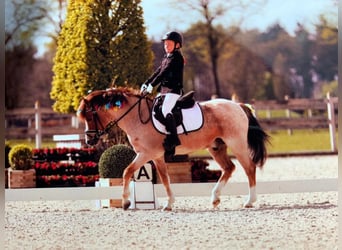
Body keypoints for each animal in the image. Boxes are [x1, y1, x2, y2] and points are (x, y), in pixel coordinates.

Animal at [77, 87, 270, 210]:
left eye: (90, 116)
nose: (89, 140)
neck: (137, 117)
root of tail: (238, 105)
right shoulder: (155, 156)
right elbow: (164, 178)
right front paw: (169, 204)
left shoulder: (146, 153)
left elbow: (127, 171)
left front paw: (125, 202)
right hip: (216, 147)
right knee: (229, 168)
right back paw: (215, 199)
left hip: (237, 144)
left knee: (249, 168)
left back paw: (249, 201)